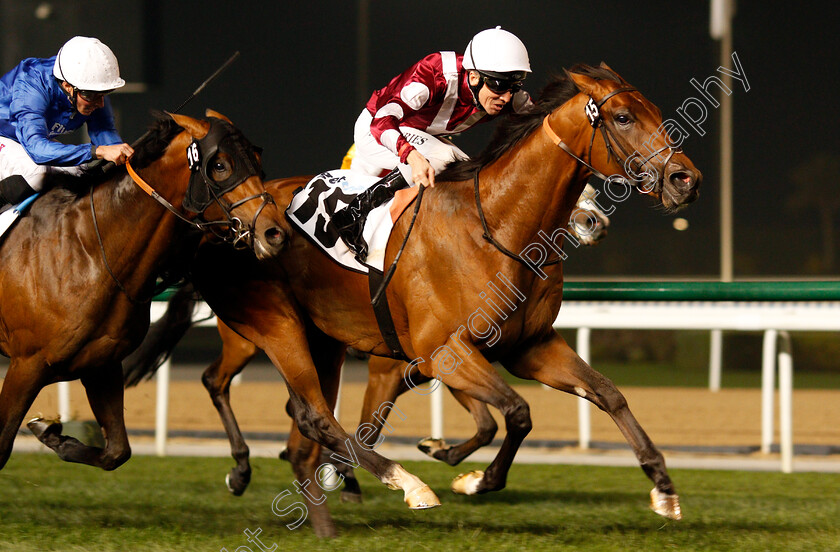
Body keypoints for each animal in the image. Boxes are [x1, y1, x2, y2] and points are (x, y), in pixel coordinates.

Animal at [0, 110, 286, 472]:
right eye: (220, 165)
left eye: (258, 163)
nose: (274, 233)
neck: (89, 250)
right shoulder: (26, 365)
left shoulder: (101, 365)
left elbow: (116, 452)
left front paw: (52, 434)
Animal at [136, 63, 704, 536]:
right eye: (624, 117)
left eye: (656, 112)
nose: (687, 179)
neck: (499, 225)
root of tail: (217, 225)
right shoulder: (439, 351)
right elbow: (515, 412)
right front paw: (474, 479)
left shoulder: (530, 345)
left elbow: (607, 394)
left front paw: (663, 488)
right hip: (270, 328)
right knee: (270, 399)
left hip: (324, 342)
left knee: (303, 428)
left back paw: (325, 519)